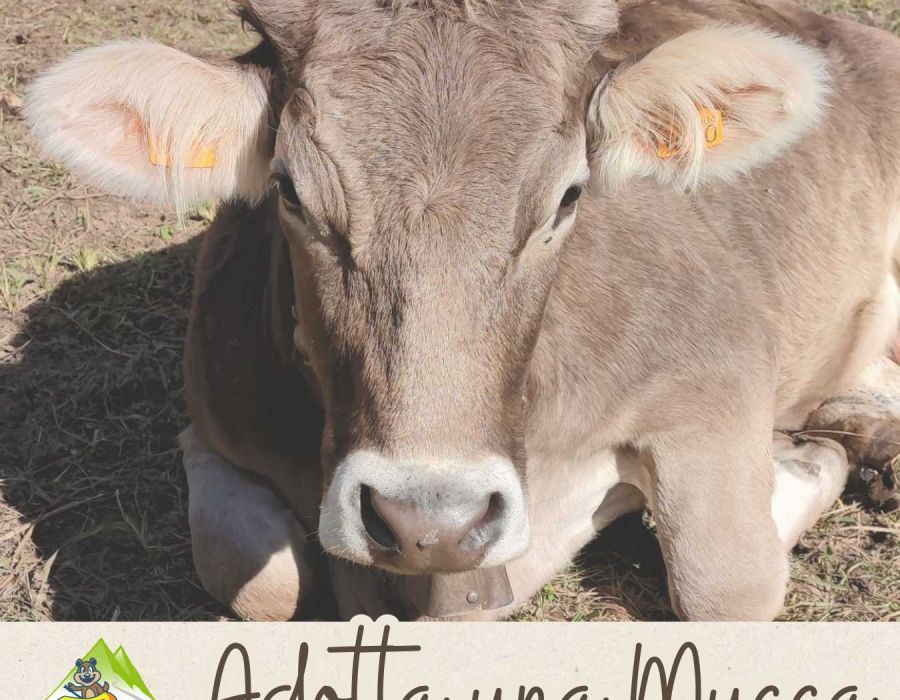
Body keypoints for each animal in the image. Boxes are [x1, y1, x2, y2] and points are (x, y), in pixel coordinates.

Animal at [25, 0, 900, 621]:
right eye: (291, 192)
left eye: (569, 197)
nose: (432, 522)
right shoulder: (211, 415)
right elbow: (258, 583)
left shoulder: (711, 372)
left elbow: (725, 584)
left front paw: (806, 469)